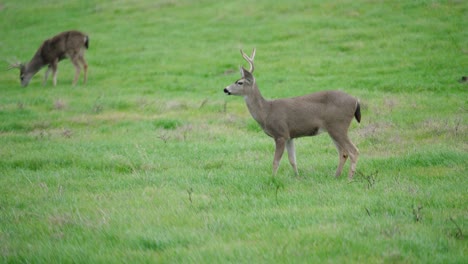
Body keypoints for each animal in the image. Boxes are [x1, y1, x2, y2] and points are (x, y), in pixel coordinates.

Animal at [223, 48, 362, 178]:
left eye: (239, 82)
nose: (225, 89)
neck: (266, 112)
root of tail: (356, 100)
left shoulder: (280, 134)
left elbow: (275, 161)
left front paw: (273, 178)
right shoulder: (290, 136)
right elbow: (292, 160)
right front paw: (297, 177)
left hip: (338, 125)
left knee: (353, 151)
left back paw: (349, 178)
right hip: (332, 129)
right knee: (343, 152)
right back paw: (336, 176)